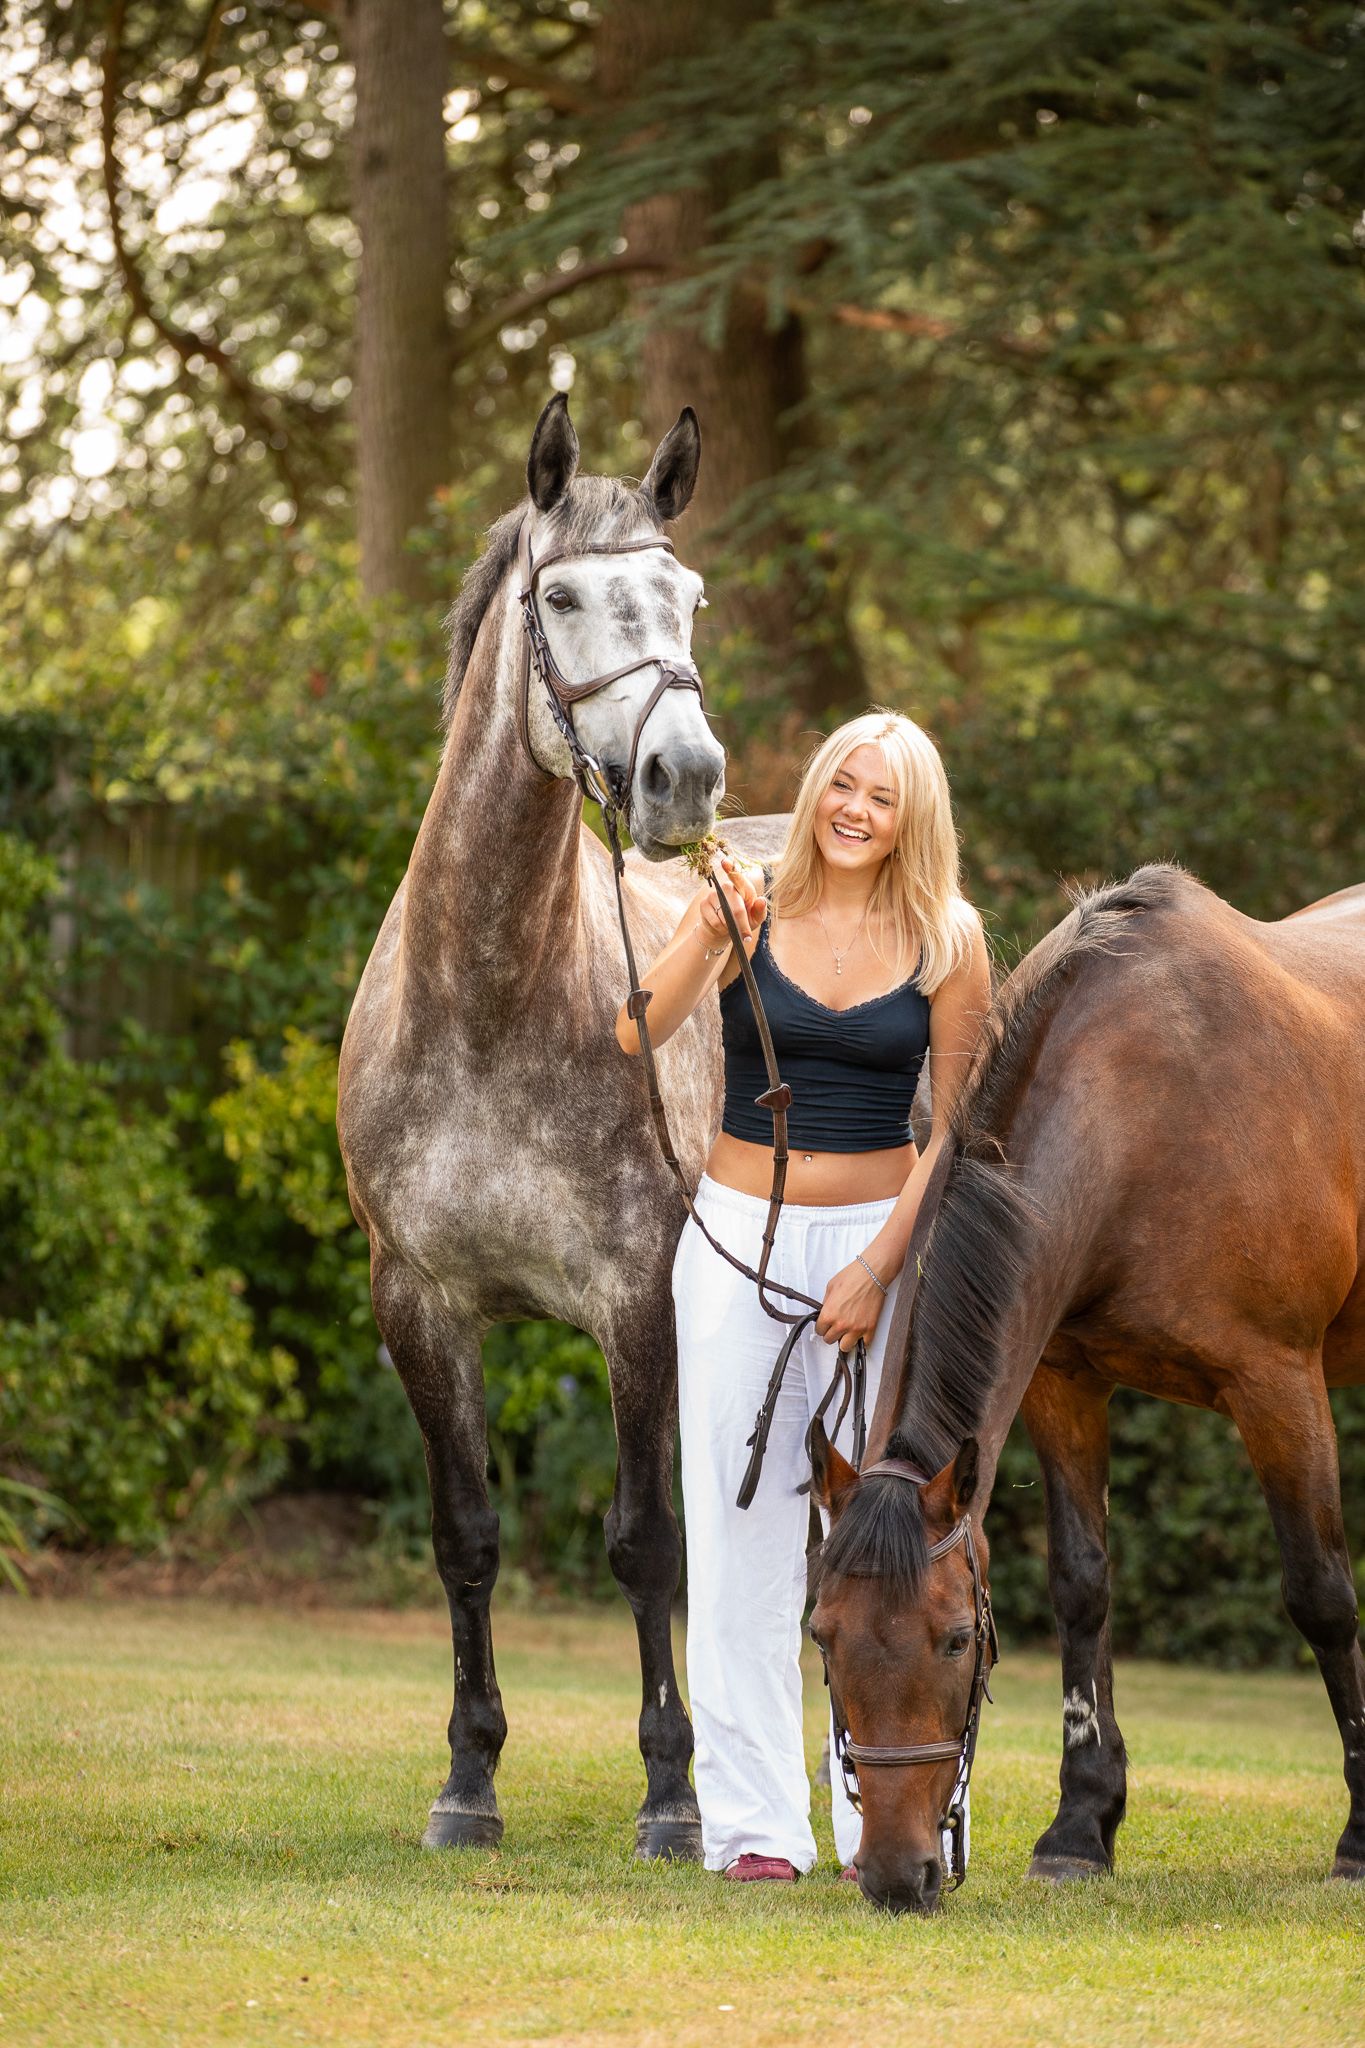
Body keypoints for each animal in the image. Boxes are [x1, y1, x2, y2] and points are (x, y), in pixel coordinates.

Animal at [337, 395, 782, 1859]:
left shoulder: (636, 1300)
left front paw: (672, 1797)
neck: (486, 1002)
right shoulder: (418, 1302)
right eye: (562, 595)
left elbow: (646, 1543)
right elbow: (468, 1534)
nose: (683, 777)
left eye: (688, 599)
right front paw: (468, 1779)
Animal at [806, 864, 1365, 1913]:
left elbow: (1320, 1596)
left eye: (955, 1640)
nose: (896, 1874)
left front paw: (1359, 1836)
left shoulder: (1277, 1382)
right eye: (823, 1638)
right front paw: (1079, 1826)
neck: (1149, 1110)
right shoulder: (1061, 1384)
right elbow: (1081, 1587)